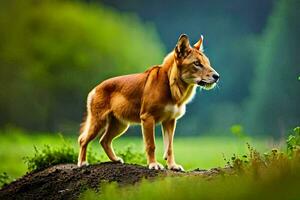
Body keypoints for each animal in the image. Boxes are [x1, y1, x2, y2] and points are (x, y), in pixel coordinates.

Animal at [77, 34, 218, 170]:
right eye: (197, 63)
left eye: (207, 63)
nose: (217, 76)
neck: (169, 85)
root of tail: (95, 89)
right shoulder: (147, 118)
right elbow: (151, 145)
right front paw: (153, 164)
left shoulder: (170, 121)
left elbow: (169, 147)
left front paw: (172, 166)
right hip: (98, 121)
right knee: (83, 140)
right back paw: (82, 163)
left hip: (120, 125)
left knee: (104, 140)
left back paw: (116, 160)